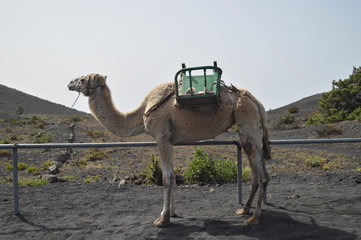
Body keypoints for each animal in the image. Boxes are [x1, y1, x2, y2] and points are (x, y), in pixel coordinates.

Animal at [67, 72, 270, 227]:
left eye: (83, 79)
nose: (69, 83)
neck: (143, 113)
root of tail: (255, 101)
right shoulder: (170, 140)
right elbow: (172, 176)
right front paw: (171, 213)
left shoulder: (161, 137)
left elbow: (166, 178)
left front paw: (163, 219)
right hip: (247, 131)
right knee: (256, 169)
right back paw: (244, 209)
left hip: (247, 120)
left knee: (262, 175)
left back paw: (253, 218)